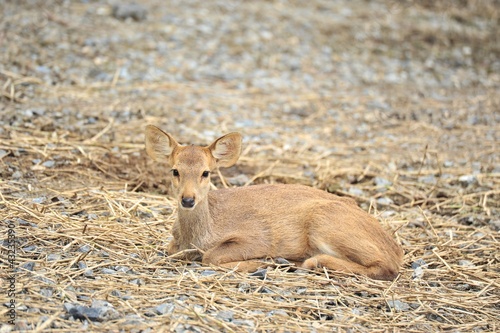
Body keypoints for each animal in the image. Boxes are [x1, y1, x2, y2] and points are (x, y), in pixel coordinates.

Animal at [145, 124, 402, 280]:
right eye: (175, 170)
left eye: (206, 173)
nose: (188, 200)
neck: (199, 236)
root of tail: (395, 248)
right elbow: (172, 249)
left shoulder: (257, 236)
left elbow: (211, 257)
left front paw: (260, 263)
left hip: (326, 222)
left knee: (385, 266)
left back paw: (308, 261)